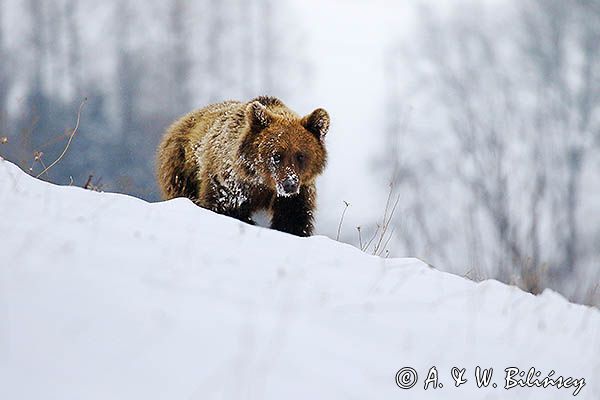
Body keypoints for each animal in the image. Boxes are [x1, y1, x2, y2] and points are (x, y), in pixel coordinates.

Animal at [157, 95, 330, 236]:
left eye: (300, 155)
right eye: (277, 155)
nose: (289, 184)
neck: (262, 182)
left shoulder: (298, 193)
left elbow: (292, 219)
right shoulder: (230, 184)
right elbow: (226, 207)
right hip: (181, 169)